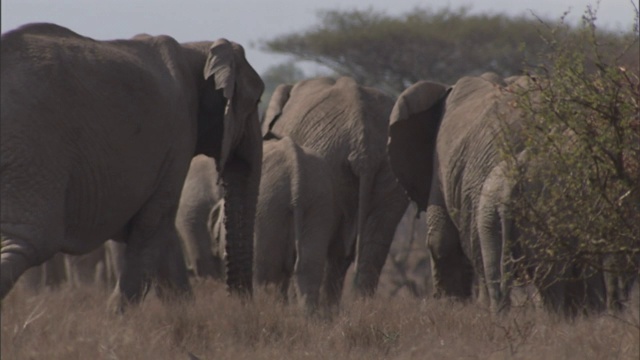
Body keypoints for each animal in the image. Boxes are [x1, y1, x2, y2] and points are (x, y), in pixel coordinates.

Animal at [0, 23, 264, 310]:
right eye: (256, 101)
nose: (239, 304)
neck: (197, 50)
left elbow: (160, 229)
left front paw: (181, 314)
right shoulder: (180, 134)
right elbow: (155, 222)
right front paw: (116, 318)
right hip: (33, 149)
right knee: (31, 239)